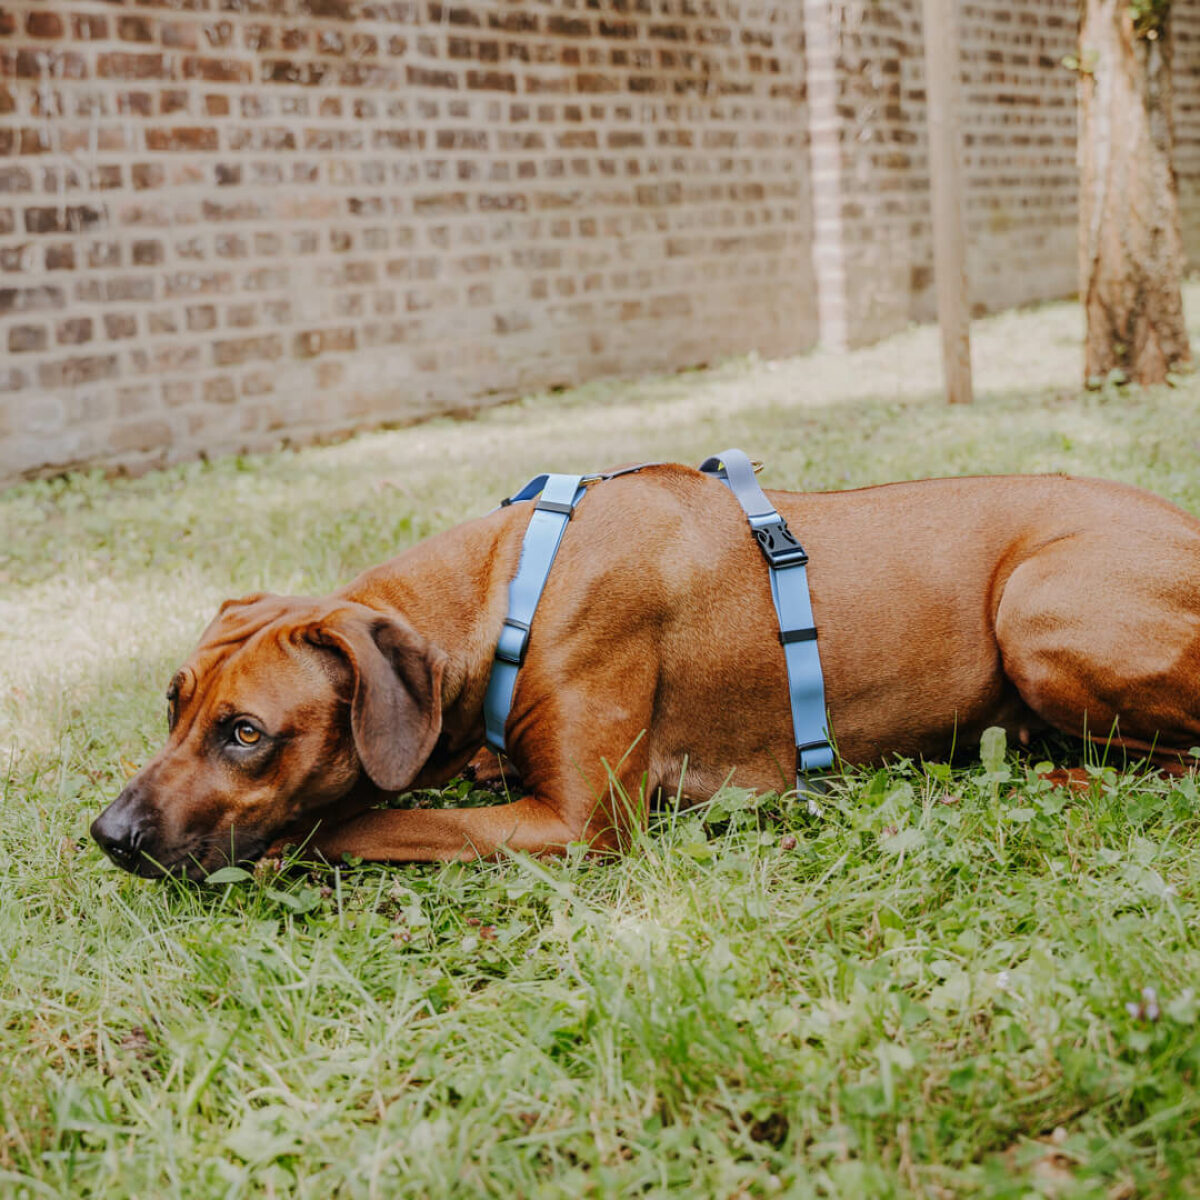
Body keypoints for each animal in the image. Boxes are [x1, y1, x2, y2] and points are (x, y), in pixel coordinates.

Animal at [88, 463, 1200, 878]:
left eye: (246, 733)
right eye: (173, 708)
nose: (109, 834)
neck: (510, 594)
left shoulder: (576, 824)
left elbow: (363, 820)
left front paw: (293, 842)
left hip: (1035, 605)